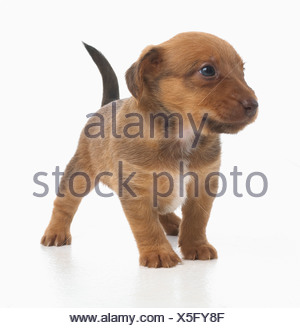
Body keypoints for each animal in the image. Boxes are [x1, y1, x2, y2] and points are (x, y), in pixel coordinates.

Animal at [40, 32, 258, 268]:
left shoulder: (202, 185)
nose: (254, 105)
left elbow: (197, 221)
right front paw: (159, 253)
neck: (182, 135)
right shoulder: (137, 191)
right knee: (64, 203)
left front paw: (196, 246)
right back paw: (56, 232)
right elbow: (147, 226)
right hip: (79, 174)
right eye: (207, 70)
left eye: (242, 71)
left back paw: (174, 223)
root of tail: (107, 105)